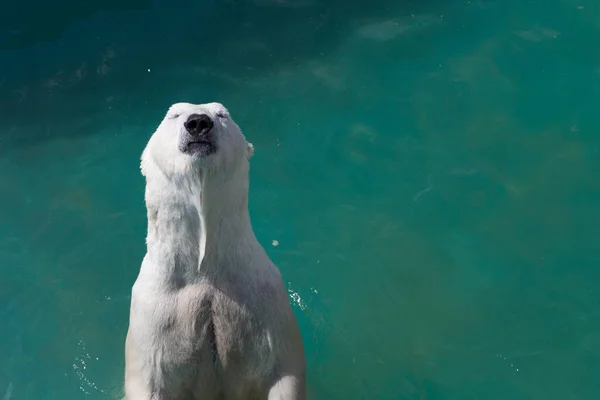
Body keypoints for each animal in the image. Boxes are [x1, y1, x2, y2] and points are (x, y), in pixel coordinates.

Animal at [125, 101, 308, 398]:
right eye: (173, 114)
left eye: (222, 114)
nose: (198, 122)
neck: (204, 267)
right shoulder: (152, 317)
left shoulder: (267, 305)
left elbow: (283, 373)